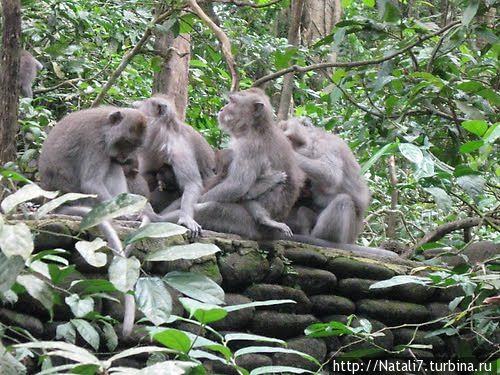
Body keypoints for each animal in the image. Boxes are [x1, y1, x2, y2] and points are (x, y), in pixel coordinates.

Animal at [134, 94, 216, 236]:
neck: (164, 135)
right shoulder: (151, 147)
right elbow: (146, 175)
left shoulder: (180, 149)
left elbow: (191, 184)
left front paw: (186, 219)